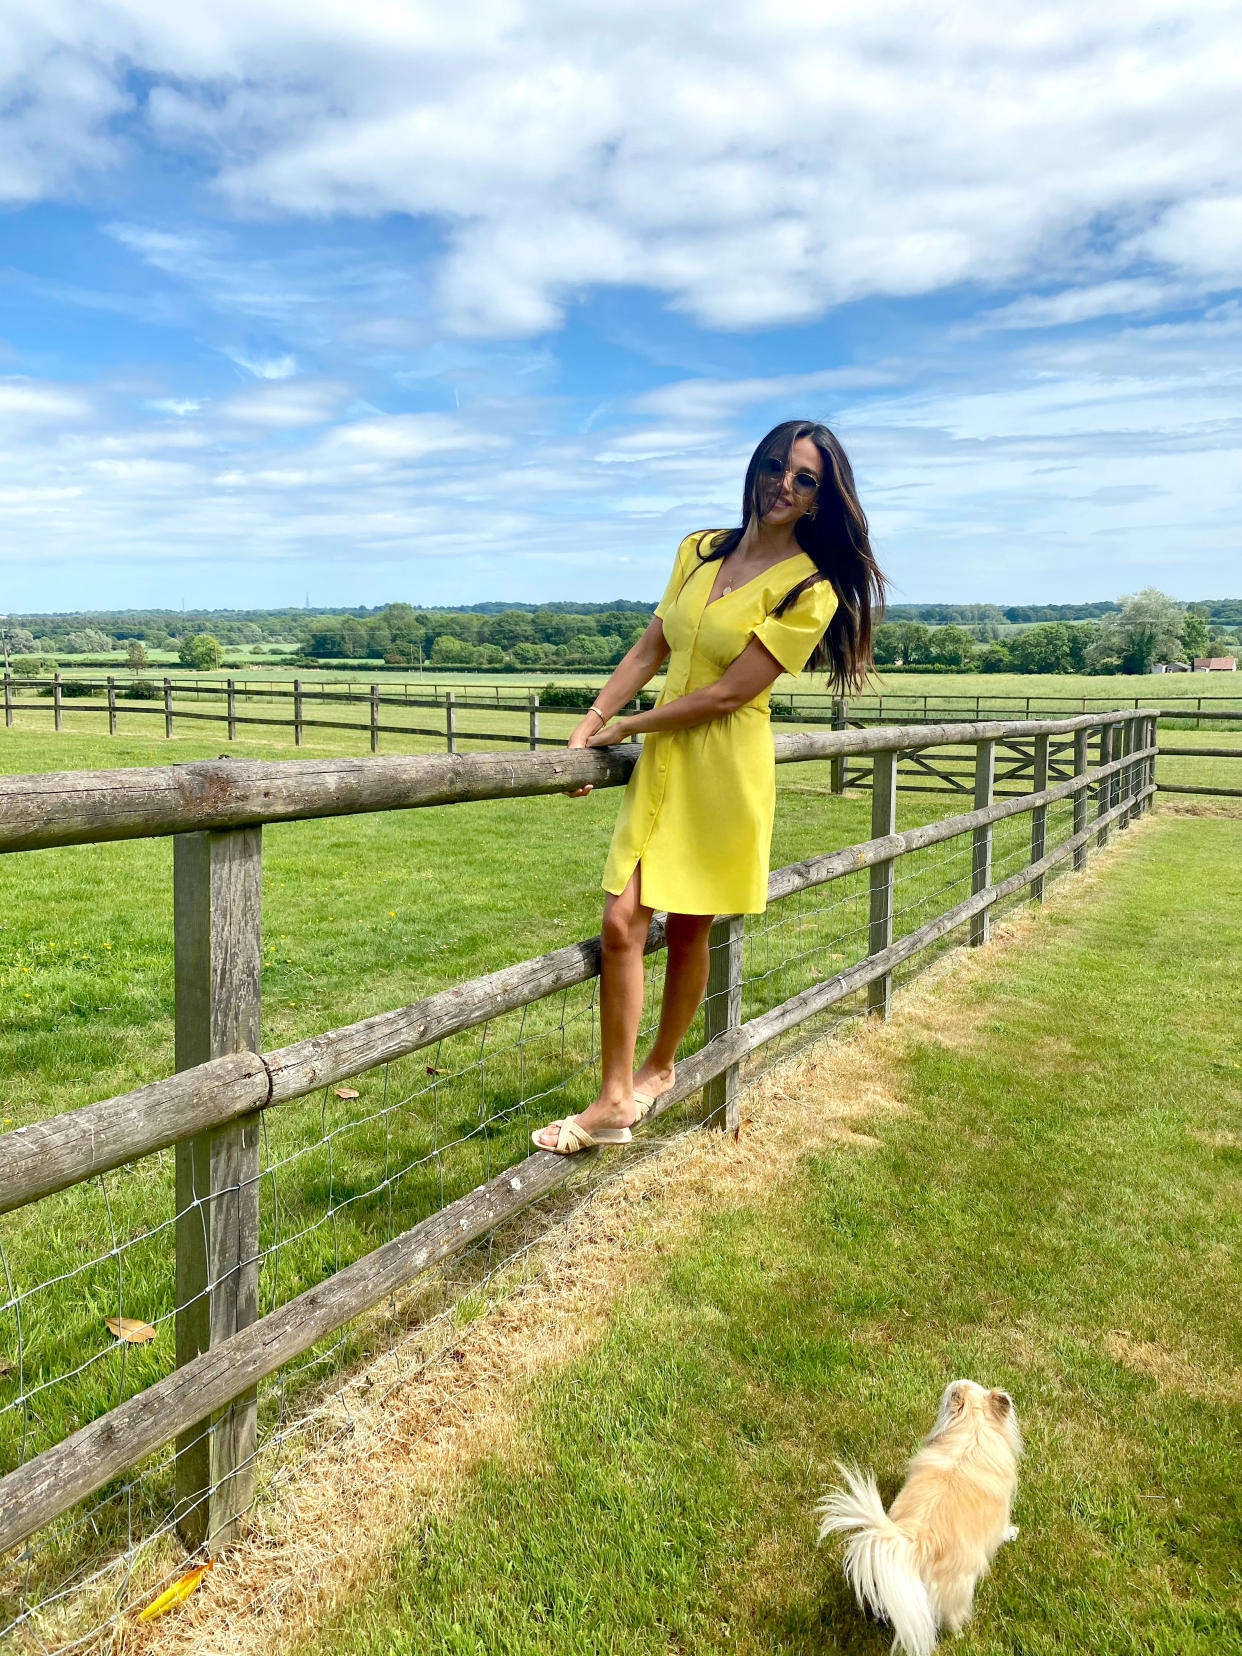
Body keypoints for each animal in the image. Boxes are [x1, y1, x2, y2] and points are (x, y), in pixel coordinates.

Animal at [818, 1371, 1020, 1656]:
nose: (955, 1378)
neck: (973, 1432)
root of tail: (917, 1542)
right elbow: (1004, 1530)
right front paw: (1012, 1533)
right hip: (959, 1587)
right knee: (951, 1617)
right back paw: (959, 1635)